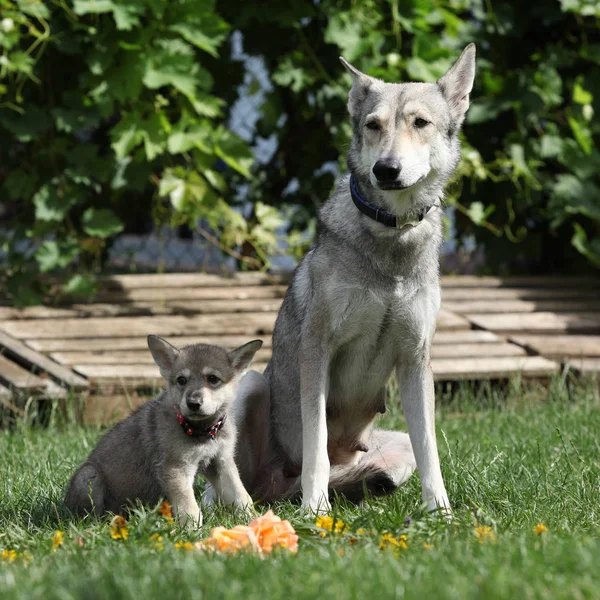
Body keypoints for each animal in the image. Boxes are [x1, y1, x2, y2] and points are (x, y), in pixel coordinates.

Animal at [65, 336, 262, 528]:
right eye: (181, 380)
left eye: (213, 379)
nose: (193, 403)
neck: (203, 433)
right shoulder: (175, 468)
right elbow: (189, 508)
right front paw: (193, 533)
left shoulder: (221, 462)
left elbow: (241, 496)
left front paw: (252, 520)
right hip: (89, 476)